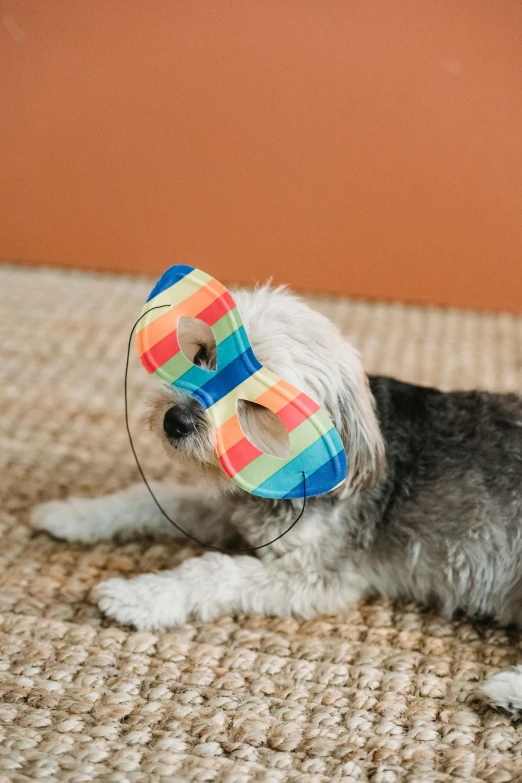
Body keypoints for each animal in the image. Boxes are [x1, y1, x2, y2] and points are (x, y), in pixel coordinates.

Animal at [31, 284, 520, 720]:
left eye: (258, 396)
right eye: (201, 354)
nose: (175, 420)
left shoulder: (314, 576)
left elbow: (214, 570)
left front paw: (141, 596)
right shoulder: (230, 509)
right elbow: (151, 499)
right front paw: (73, 514)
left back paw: (507, 692)